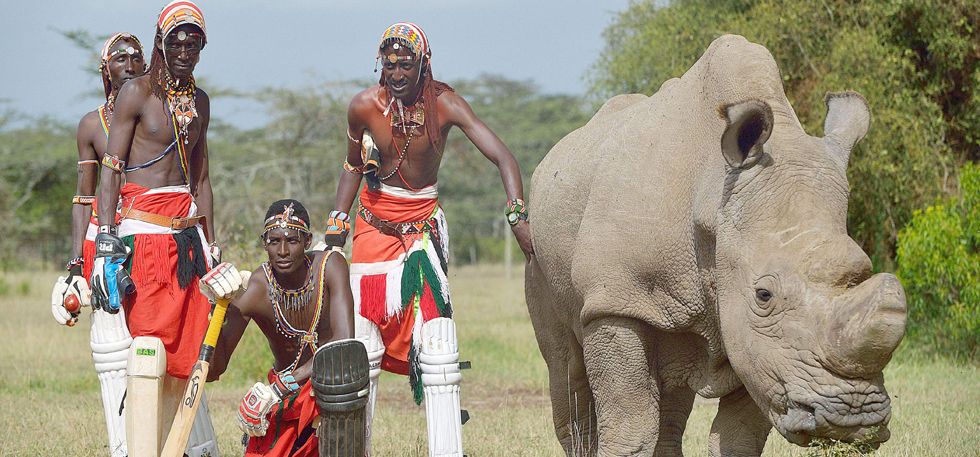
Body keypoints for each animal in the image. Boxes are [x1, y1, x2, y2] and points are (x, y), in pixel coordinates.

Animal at [524, 35, 908, 456]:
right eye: (763, 295)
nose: (853, 419)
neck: (714, 197)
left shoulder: (755, 338)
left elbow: (741, 434)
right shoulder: (617, 297)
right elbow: (631, 424)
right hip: (536, 247)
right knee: (566, 366)